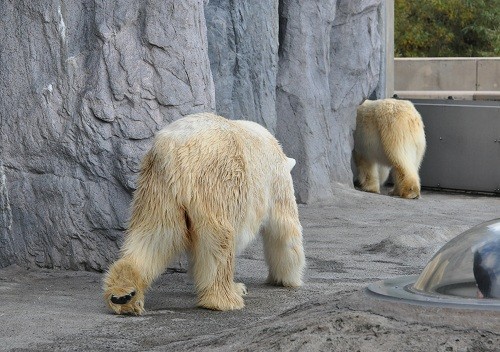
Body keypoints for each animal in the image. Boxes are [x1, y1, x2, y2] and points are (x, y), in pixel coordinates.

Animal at [104, 112, 306, 314]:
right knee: (218, 239)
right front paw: (288, 279)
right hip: (216, 181)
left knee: (154, 234)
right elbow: (285, 230)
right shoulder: (276, 182)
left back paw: (124, 294)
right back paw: (225, 298)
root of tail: (174, 150)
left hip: (158, 187)